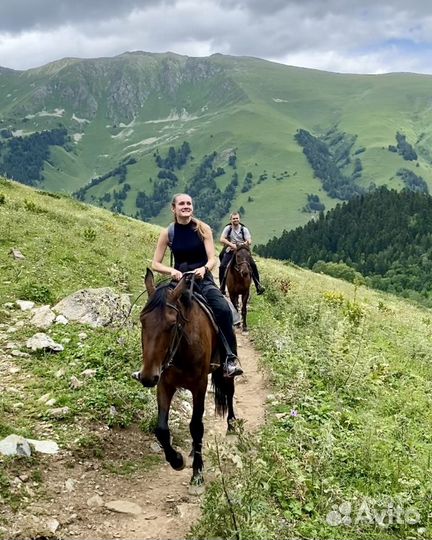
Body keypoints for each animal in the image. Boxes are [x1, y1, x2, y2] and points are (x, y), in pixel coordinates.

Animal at [133, 270, 235, 486]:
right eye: (142, 321)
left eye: (172, 324)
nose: (147, 377)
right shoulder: (164, 384)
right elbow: (162, 429)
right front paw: (177, 460)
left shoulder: (199, 385)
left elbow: (196, 426)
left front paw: (197, 473)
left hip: (226, 370)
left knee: (229, 393)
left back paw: (232, 426)